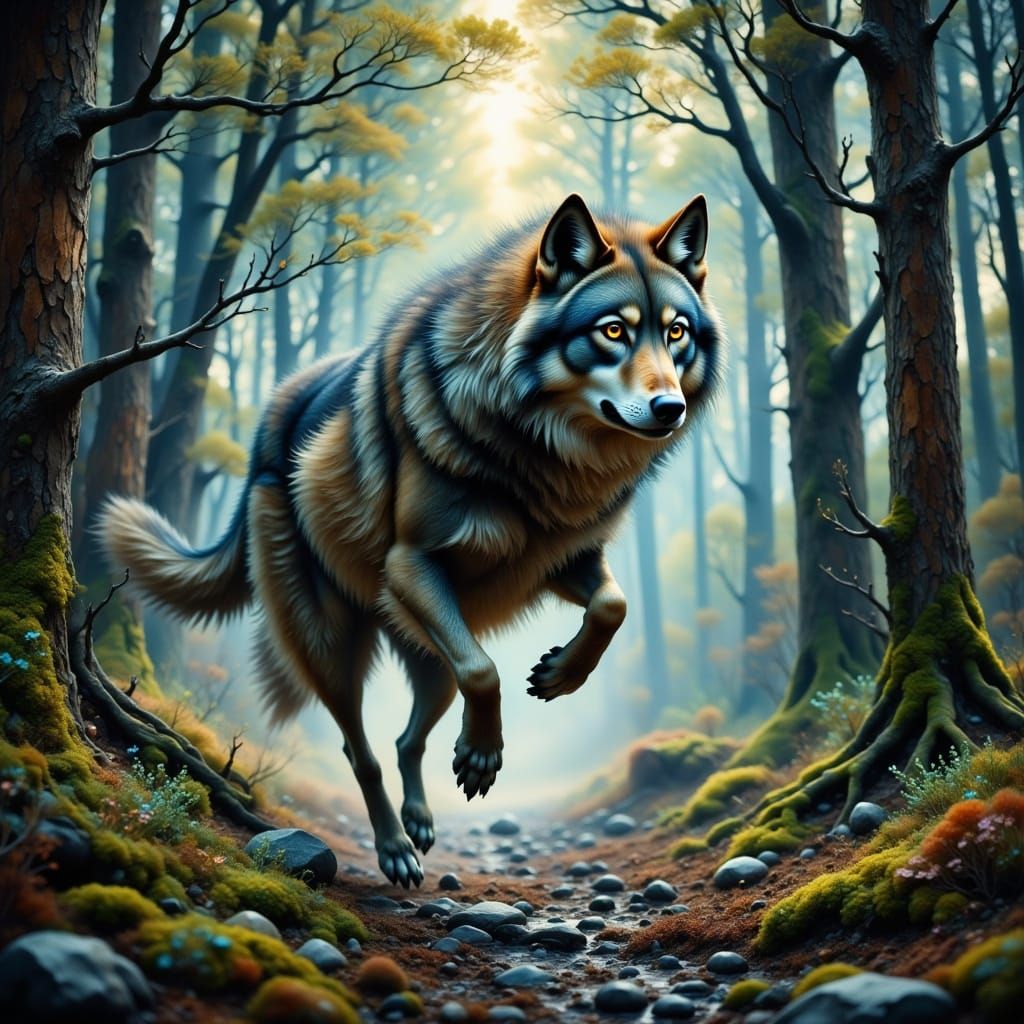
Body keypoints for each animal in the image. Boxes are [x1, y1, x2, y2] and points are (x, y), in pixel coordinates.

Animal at [99, 193, 723, 886]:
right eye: (613, 331)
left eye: (676, 332)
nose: (670, 409)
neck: (539, 454)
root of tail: (265, 432)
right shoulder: (411, 565)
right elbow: (485, 670)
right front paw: (482, 754)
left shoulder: (563, 558)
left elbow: (613, 606)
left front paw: (559, 675)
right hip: (334, 643)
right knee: (363, 749)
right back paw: (395, 846)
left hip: (429, 654)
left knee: (407, 738)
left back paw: (421, 821)